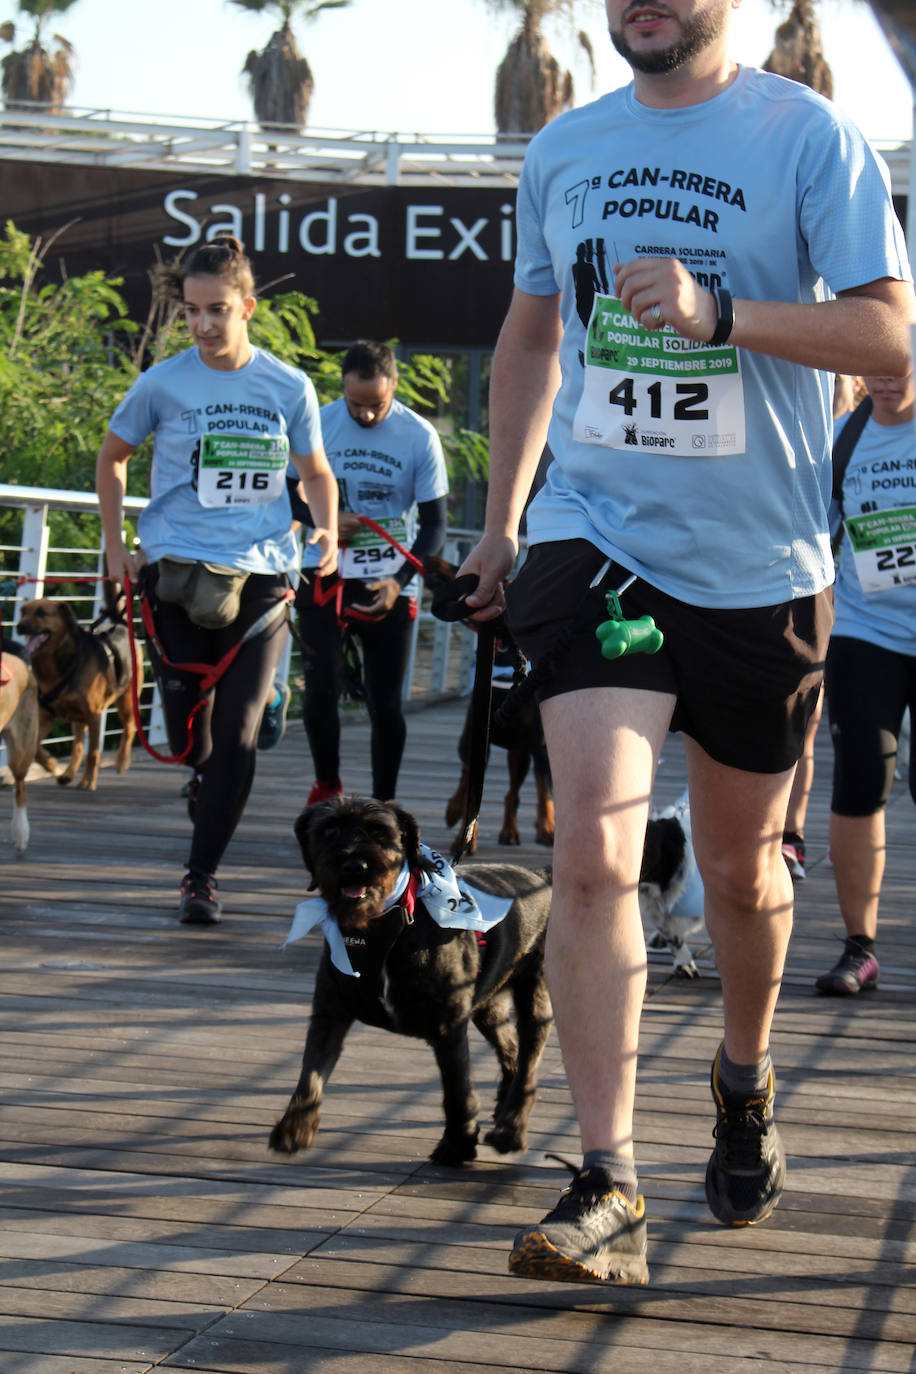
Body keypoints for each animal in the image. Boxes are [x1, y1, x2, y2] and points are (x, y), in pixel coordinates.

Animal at [269, 796, 554, 1170]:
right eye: (328, 830)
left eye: (380, 831)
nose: (354, 865)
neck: (383, 927)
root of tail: (542, 876)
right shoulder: (330, 1014)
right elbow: (310, 1074)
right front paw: (294, 1128)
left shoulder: (448, 1026)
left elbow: (457, 1090)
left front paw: (456, 1145)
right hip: (489, 1006)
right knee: (511, 1049)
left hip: (535, 999)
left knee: (529, 1064)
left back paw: (510, 1130)